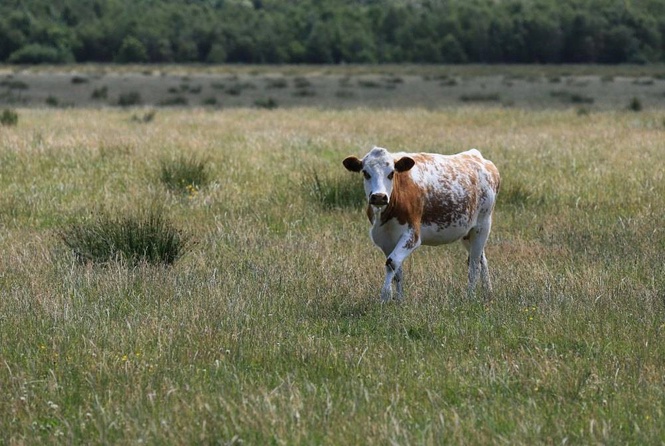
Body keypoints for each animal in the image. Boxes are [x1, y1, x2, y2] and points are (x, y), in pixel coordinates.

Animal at [343, 146, 500, 302]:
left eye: (391, 173)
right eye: (365, 173)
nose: (379, 197)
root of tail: (478, 157)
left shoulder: (412, 235)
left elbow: (392, 263)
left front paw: (385, 297)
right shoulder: (384, 238)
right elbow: (397, 269)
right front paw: (399, 300)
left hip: (482, 225)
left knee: (474, 263)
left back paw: (470, 296)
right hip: (468, 232)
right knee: (482, 259)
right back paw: (488, 292)